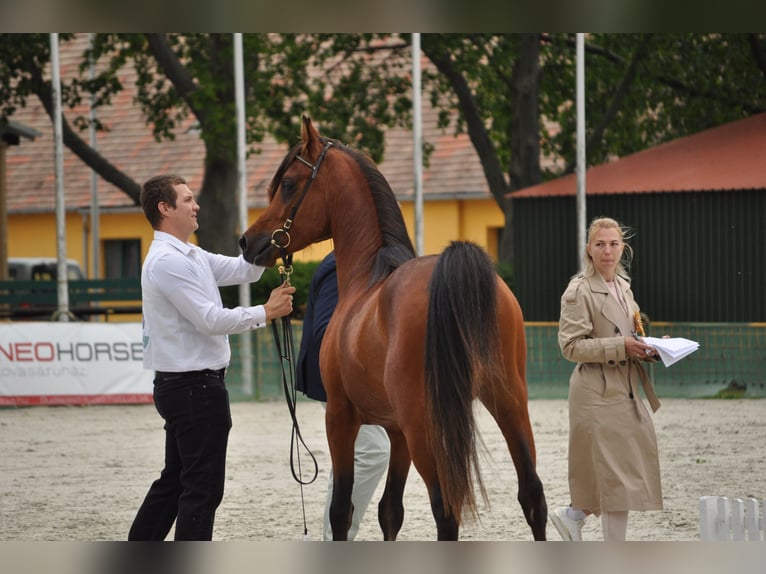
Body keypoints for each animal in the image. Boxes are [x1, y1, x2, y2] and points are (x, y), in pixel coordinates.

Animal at [240, 116, 547, 541]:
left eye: (287, 184)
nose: (248, 242)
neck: (368, 276)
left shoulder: (341, 417)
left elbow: (341, 510)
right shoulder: (396, 430)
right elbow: (390, 511)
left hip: (427, 426)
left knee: (446, 511)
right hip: (509, 401)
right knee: (532, 495)